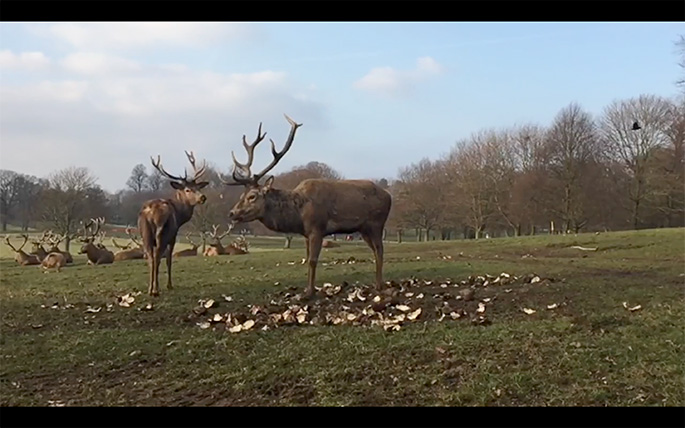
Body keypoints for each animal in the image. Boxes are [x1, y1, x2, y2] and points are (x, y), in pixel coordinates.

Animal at [136, 152, 206, 296]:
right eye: (187, 190)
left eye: (197, 187)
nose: (202, 197)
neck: (180, 216)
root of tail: (151, 212)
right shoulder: (173, 236)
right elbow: (169, 260)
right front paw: (169, 285)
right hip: (163, 233)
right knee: (157, 257)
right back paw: (155, 290)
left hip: (145, 234)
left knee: (150, 258)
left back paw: (150, 289)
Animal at [220, 115, 390, 300]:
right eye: (241, 196)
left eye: (252, 196)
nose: (232, 213)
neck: (298, 214)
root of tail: (389, 196)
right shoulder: (306, 233)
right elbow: (307, 258)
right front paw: (308, 290)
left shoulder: (317, 228)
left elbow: (312, 260)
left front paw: (309, 293)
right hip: (364, 229)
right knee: (375, 250)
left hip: (376, 223)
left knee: (380, 250)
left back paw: (379, 285)